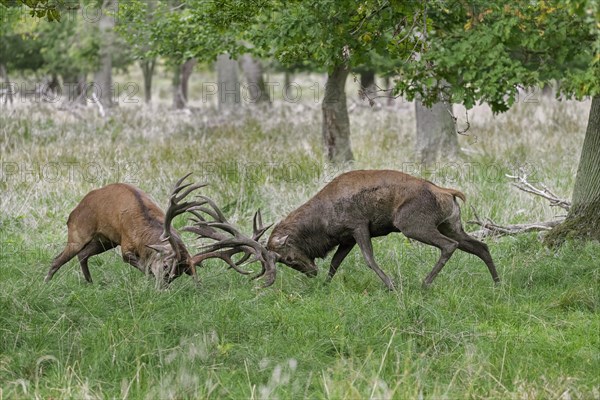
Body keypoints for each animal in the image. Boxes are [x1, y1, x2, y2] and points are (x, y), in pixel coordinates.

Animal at [42, 174, 268, 284]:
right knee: (58, 259)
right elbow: (141, 265)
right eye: (167, 265)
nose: (163, 287)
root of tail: (74, 211)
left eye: (178, 274)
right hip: (79, 232)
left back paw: (90, 283)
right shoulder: (126, 245)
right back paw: (46, 282)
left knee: (83, 255)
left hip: (104, 241)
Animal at [195, 167, 500, 290]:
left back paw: (425, 283)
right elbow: (336, 263)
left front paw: (391, 285)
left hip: (413, 223)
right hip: (452, 223)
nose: (311, 272)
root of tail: (449, 193)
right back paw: (497, 283)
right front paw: (326, 285)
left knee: (451, 246)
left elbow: (368, 259)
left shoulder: (358, 225)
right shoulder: (345, 237)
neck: (324, 223)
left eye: (288, 258)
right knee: (480, 245)